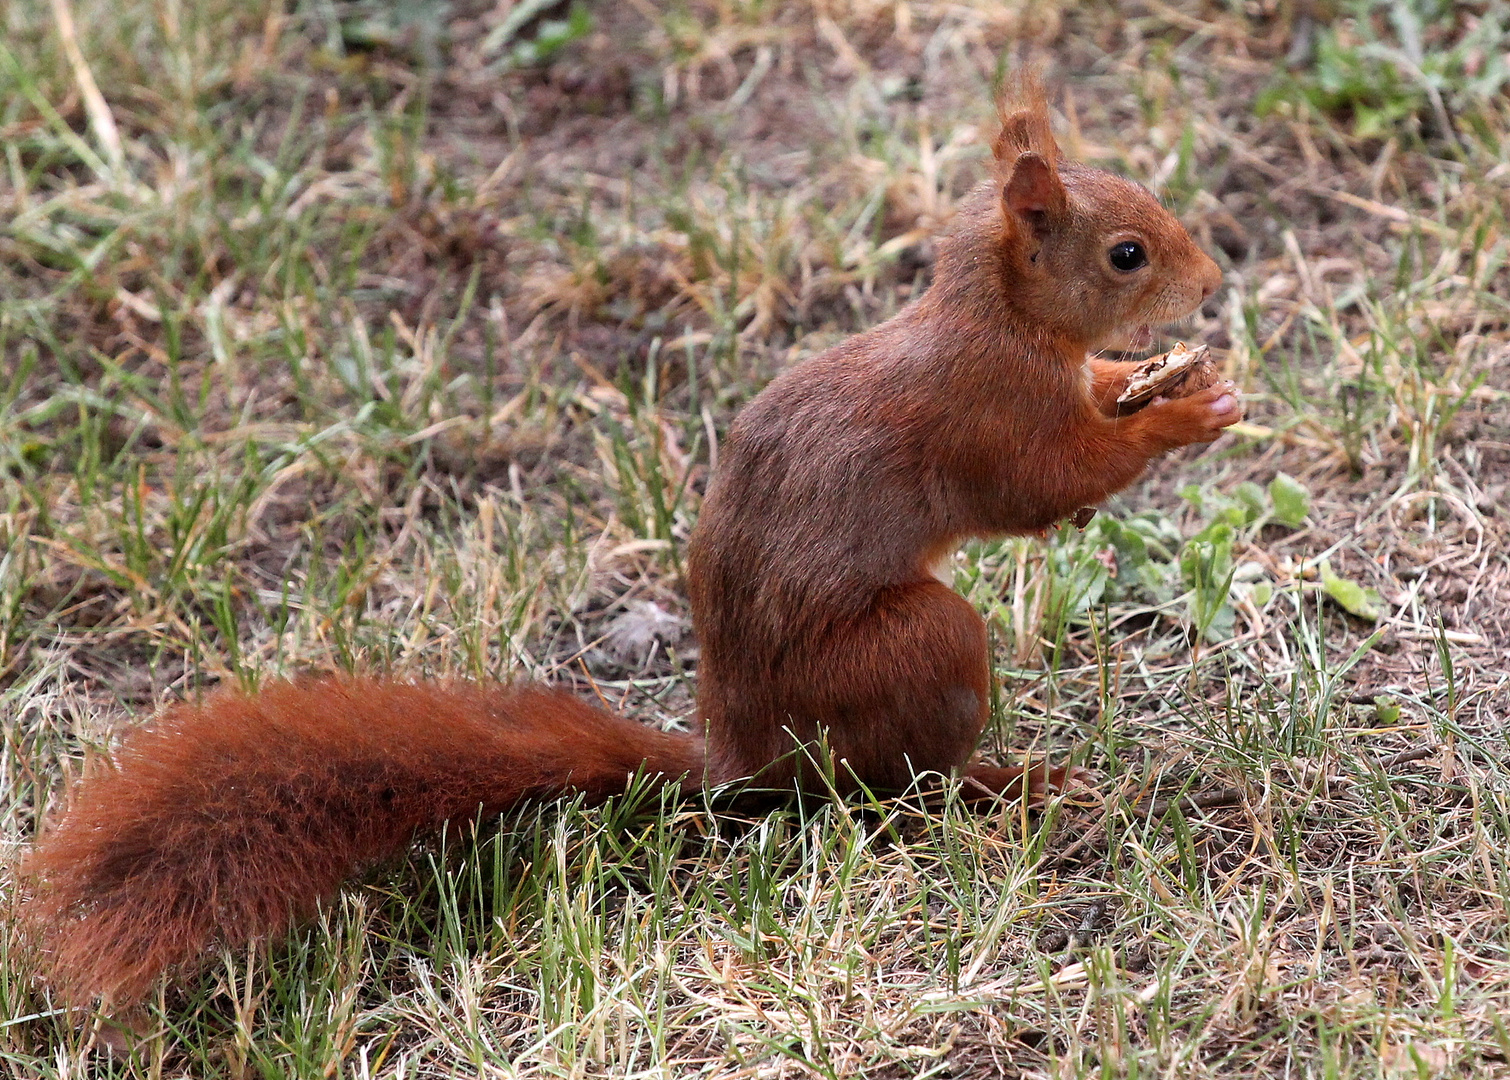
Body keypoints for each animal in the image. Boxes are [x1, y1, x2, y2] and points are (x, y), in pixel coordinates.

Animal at [17, 80, 1238, 1009]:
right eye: (1128, 253)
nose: (1216, 283)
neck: (997, 317)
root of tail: (742, 758)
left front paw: (1140, 377)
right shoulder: (990, 417)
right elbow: (1050, 487)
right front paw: (1182, 413)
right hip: (918, 651)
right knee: (890, 788)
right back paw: (1009, 782)